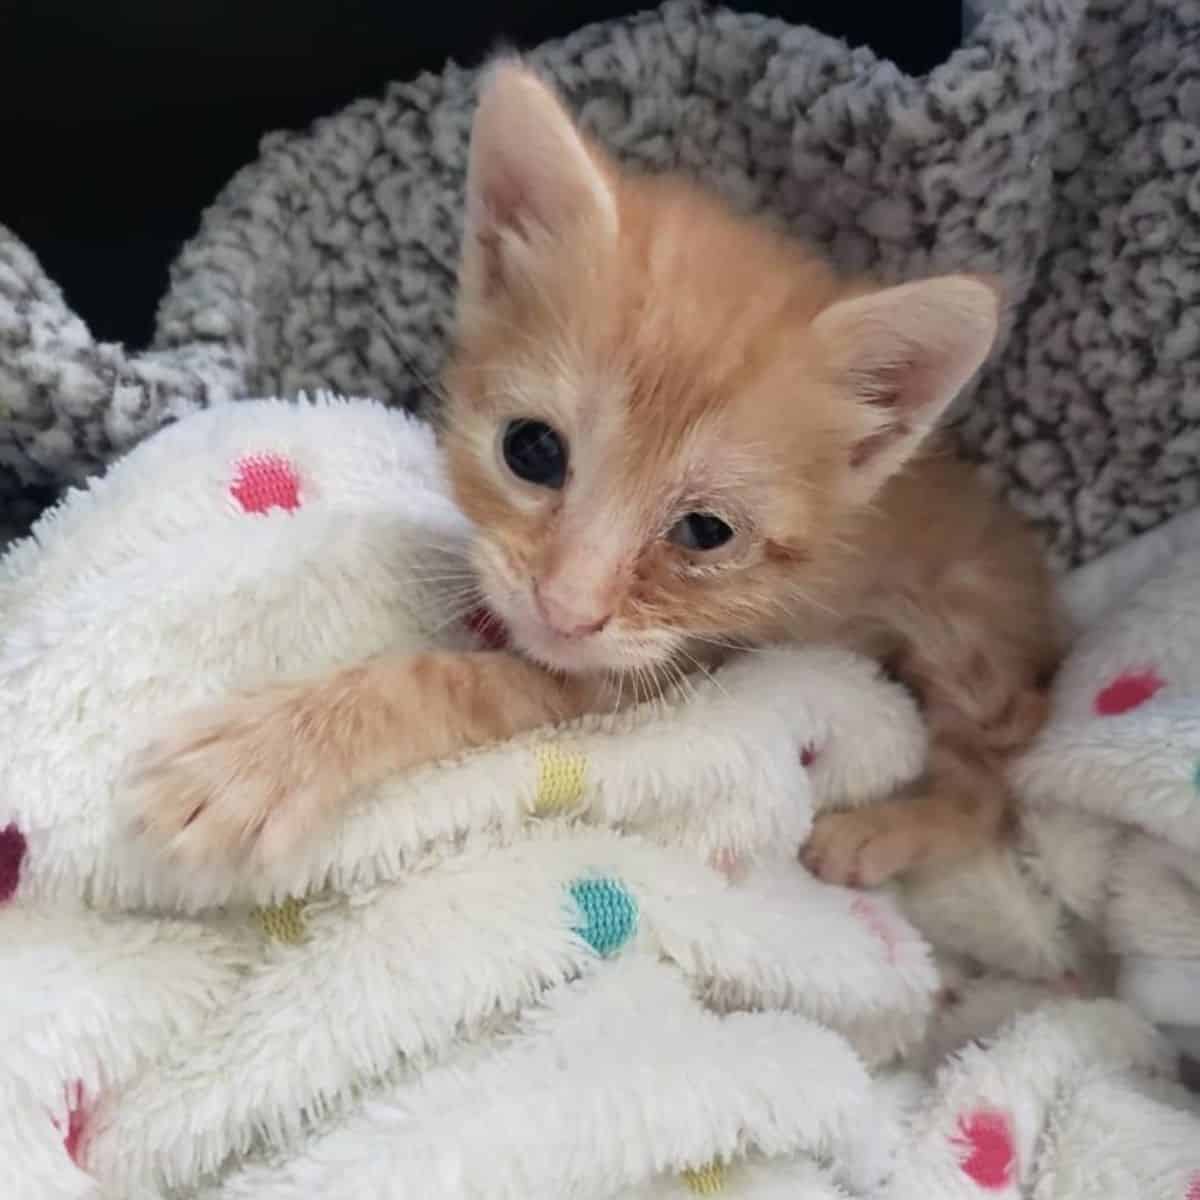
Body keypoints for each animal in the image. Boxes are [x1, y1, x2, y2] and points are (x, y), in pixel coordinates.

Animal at [124, 68, 1060, 892]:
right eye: (532, 451)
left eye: (706, 532)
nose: (566, 609)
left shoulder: (646, 670)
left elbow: (456, 683)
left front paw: (275, 751)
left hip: (967, 632)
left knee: (995, 783)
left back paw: (885, 831)